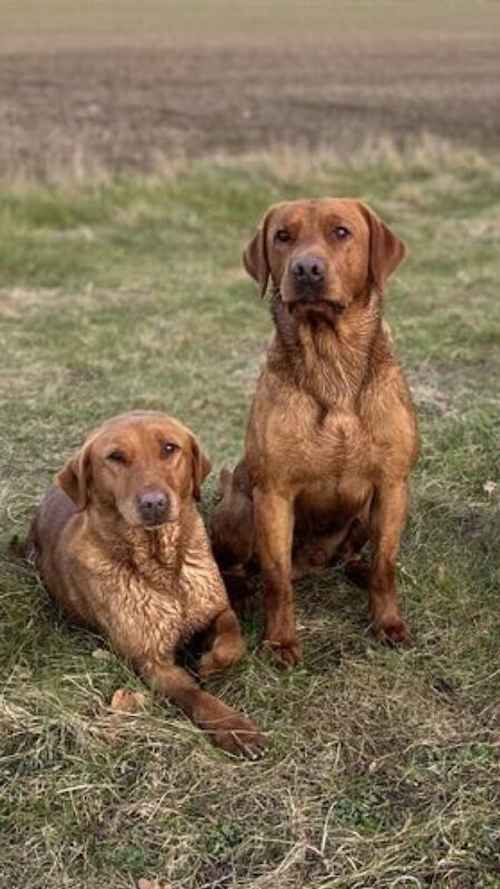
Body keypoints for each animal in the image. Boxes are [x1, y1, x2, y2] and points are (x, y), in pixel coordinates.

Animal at [29, 412, 266, 752]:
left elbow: (234, 642)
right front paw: (233, 727)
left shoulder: (216, 609)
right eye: (115, 457)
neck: (162, 566)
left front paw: (210, 661)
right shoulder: (151, 661)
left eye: (169, 448)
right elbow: (195, 696)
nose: (153, 503)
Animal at [211, 196, 418, 664]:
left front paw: (387, 622)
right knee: (239, 566)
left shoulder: (392, 485)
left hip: (363, 513)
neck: (331, 361)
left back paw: (355, 568)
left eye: (341, 232)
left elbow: (385, 564)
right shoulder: (274, 495)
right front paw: (280, 640)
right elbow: (276, 577)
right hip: (241, 507)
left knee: (356, 555)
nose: (306, 269)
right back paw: (241, 589)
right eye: (282, 236)